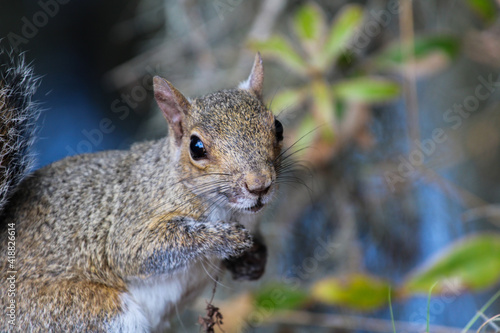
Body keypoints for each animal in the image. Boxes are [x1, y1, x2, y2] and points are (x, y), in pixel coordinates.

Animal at [0, 50, 282, 330]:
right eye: (196, 147)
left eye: (277, 127)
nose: (259, 185)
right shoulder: (134, 218)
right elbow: (140, 249)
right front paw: (226, 238)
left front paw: (254, 261)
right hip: (88, 312)